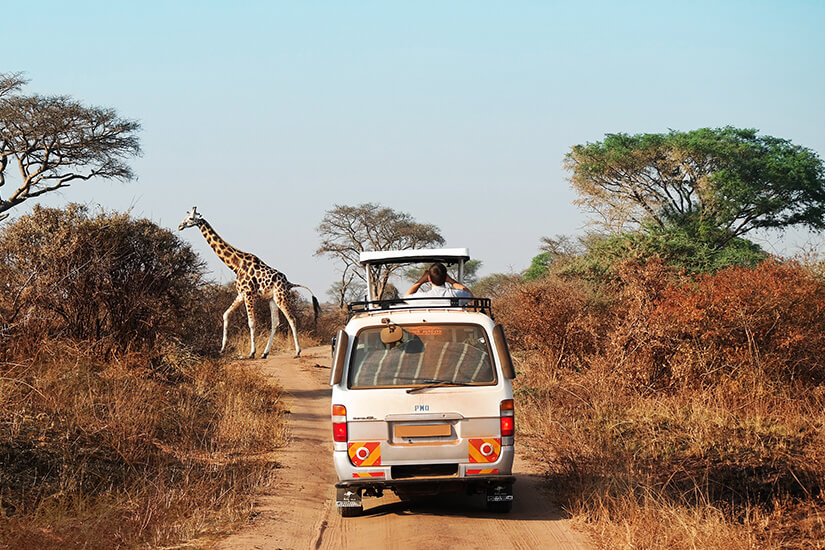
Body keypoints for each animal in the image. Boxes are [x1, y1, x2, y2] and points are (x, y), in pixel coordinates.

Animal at [177, 206, 318, 358]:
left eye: (191, 218)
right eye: (185, 217)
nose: (180, 226)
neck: (236, 264)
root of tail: (289, 283)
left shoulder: (250, 294)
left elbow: (251, 322)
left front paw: (251, 353)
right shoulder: (241, 294)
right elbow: (226, 314)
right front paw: (222, 349)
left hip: (281, 297)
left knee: (292, 319)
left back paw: (297, 352)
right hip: (272, 299)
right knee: (275, 323)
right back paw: (265, 353)